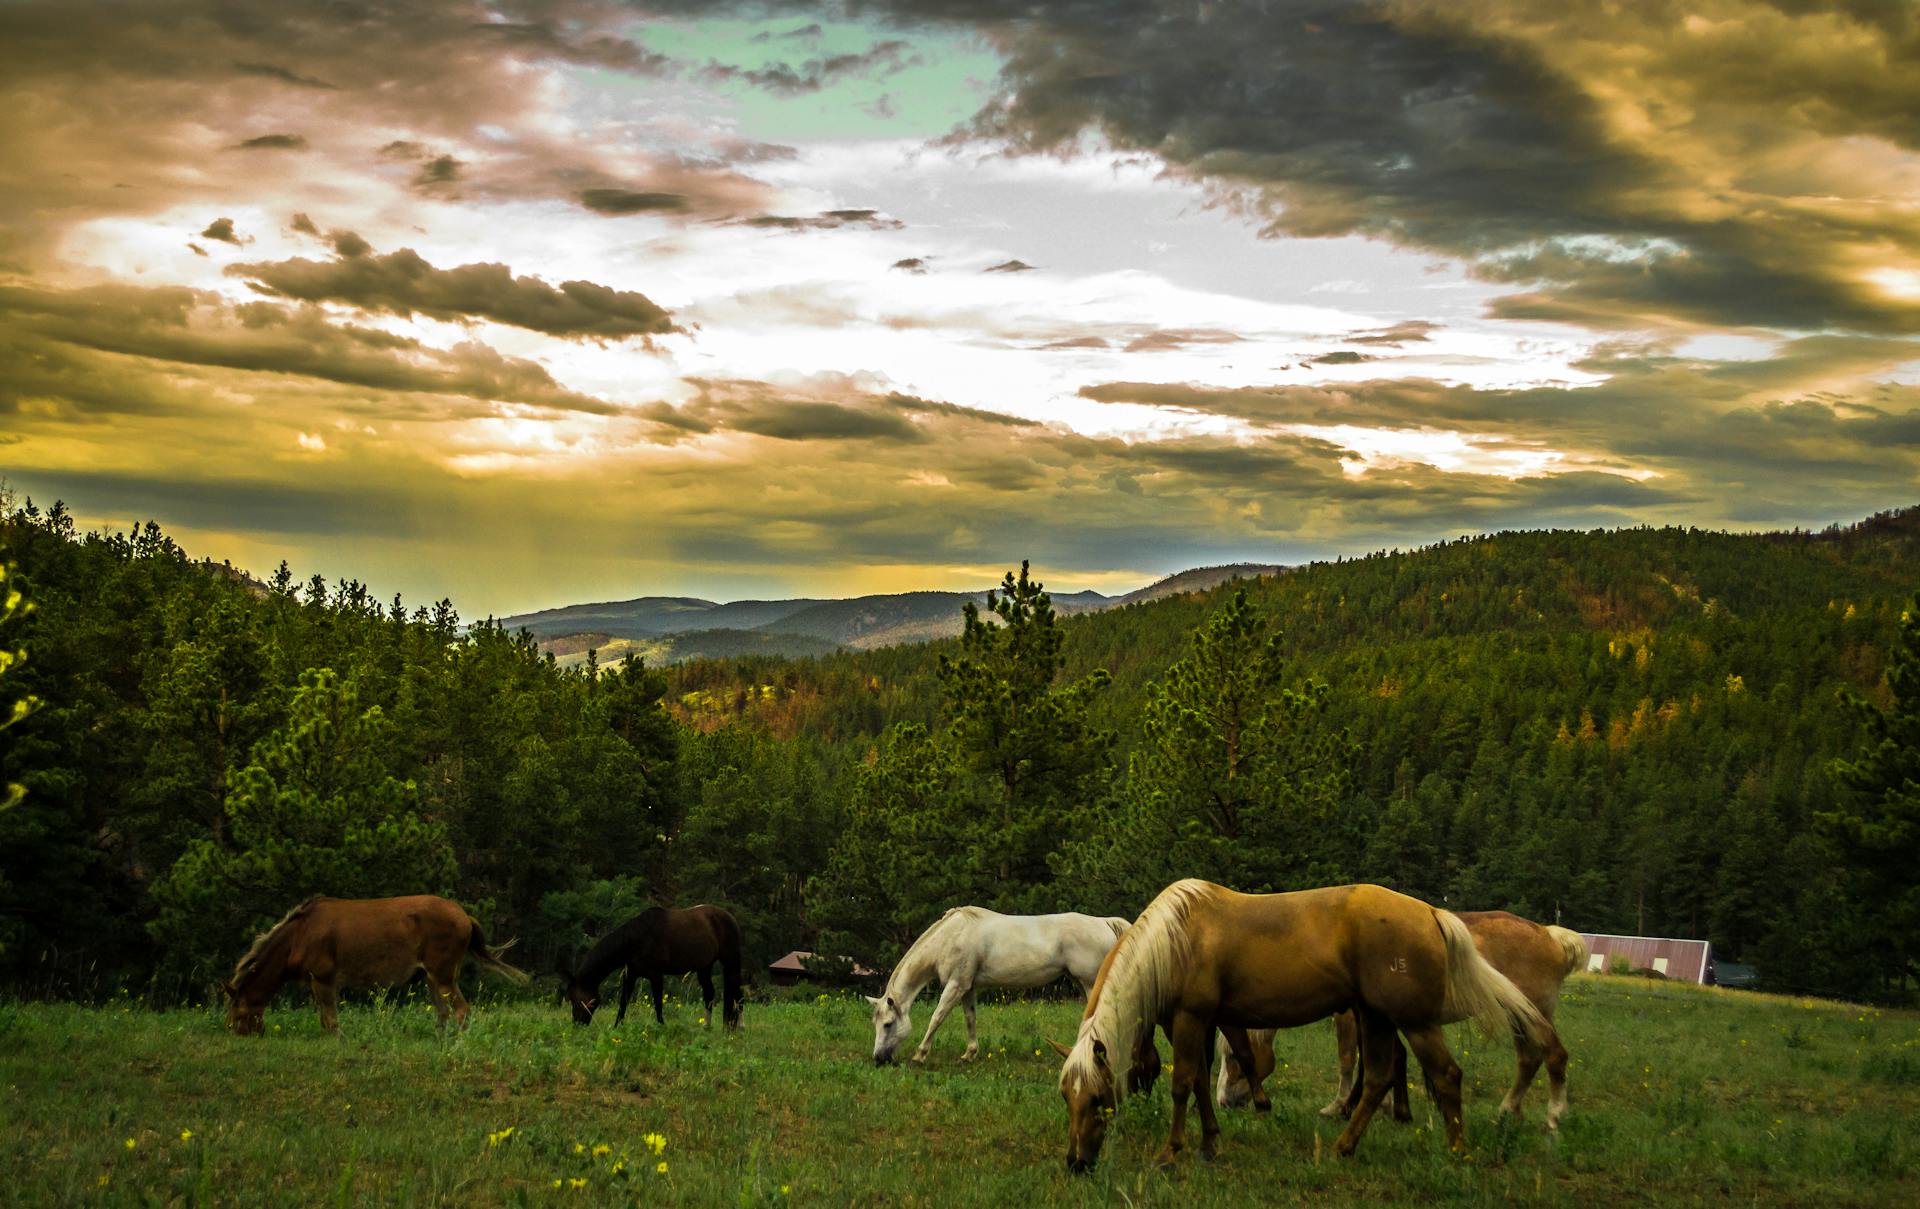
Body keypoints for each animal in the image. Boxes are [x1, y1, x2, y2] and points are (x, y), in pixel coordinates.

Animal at [220, 894, 529, 1036]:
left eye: (237, 1010)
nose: (237, 1031)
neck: (294, 943)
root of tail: (466, 918)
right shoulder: (316, 980)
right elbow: (324, 1018)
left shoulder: (323, 976)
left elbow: (331, 1020)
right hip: (430, 975)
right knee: (443, 1013)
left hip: (442, 972)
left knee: (463, 1010)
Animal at [560, 909, 741, 1036]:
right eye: (571, 999)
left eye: (578, 1000)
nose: (577, 1026)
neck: (637, 939)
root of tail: (730, 917)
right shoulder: (631, 975)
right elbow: (623, 1002)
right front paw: (617, 1027)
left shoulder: (656, 976)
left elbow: (658, 1004)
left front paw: (661, 1027)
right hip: (705, 966)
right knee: (710, 993)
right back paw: (707, 1028)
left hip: (730, 962)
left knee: (736, 993)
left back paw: (737, 1027)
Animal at [867, 909, 1121, 1066]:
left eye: (888, 1024)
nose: (878, 1058)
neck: (951, 936)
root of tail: (1103, 921)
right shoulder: (967, 988)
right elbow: (970, 1019)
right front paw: (969, 1054)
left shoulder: (955, 986)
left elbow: (936, 1018)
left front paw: (919, 1055)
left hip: (1089, 983)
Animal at [1052, 882, 1543, 1174]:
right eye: (1065, 1097)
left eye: (1095, 1097)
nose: (1076, 1161)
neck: (1175, 939)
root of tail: (1430, 913)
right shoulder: (1193, 1022)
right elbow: (1199, 1084)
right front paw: (1210, 1143)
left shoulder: (1190, 1018)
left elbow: (1183, 1085)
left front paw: (1171, 1152)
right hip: (1375, 1017)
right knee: (1378, 1078)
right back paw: (1343, 1147)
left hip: (1413, 1021)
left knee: (1445, 1076)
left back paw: (1457, 1152)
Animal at [1221, 913, 1582, 1136]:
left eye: (1234, 1058)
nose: (1225, 1102)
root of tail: (1551, 936)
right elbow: (1390, 1058)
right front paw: (1391, 1109)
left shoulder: (1349, 1015)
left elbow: (1350, 1059)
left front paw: (1340, 1106)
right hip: (1519, 1017)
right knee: (1529, 1059)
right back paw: (1508, 1111)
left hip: (1531, 1013)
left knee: (1554, 1055)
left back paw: (1552, 1118)